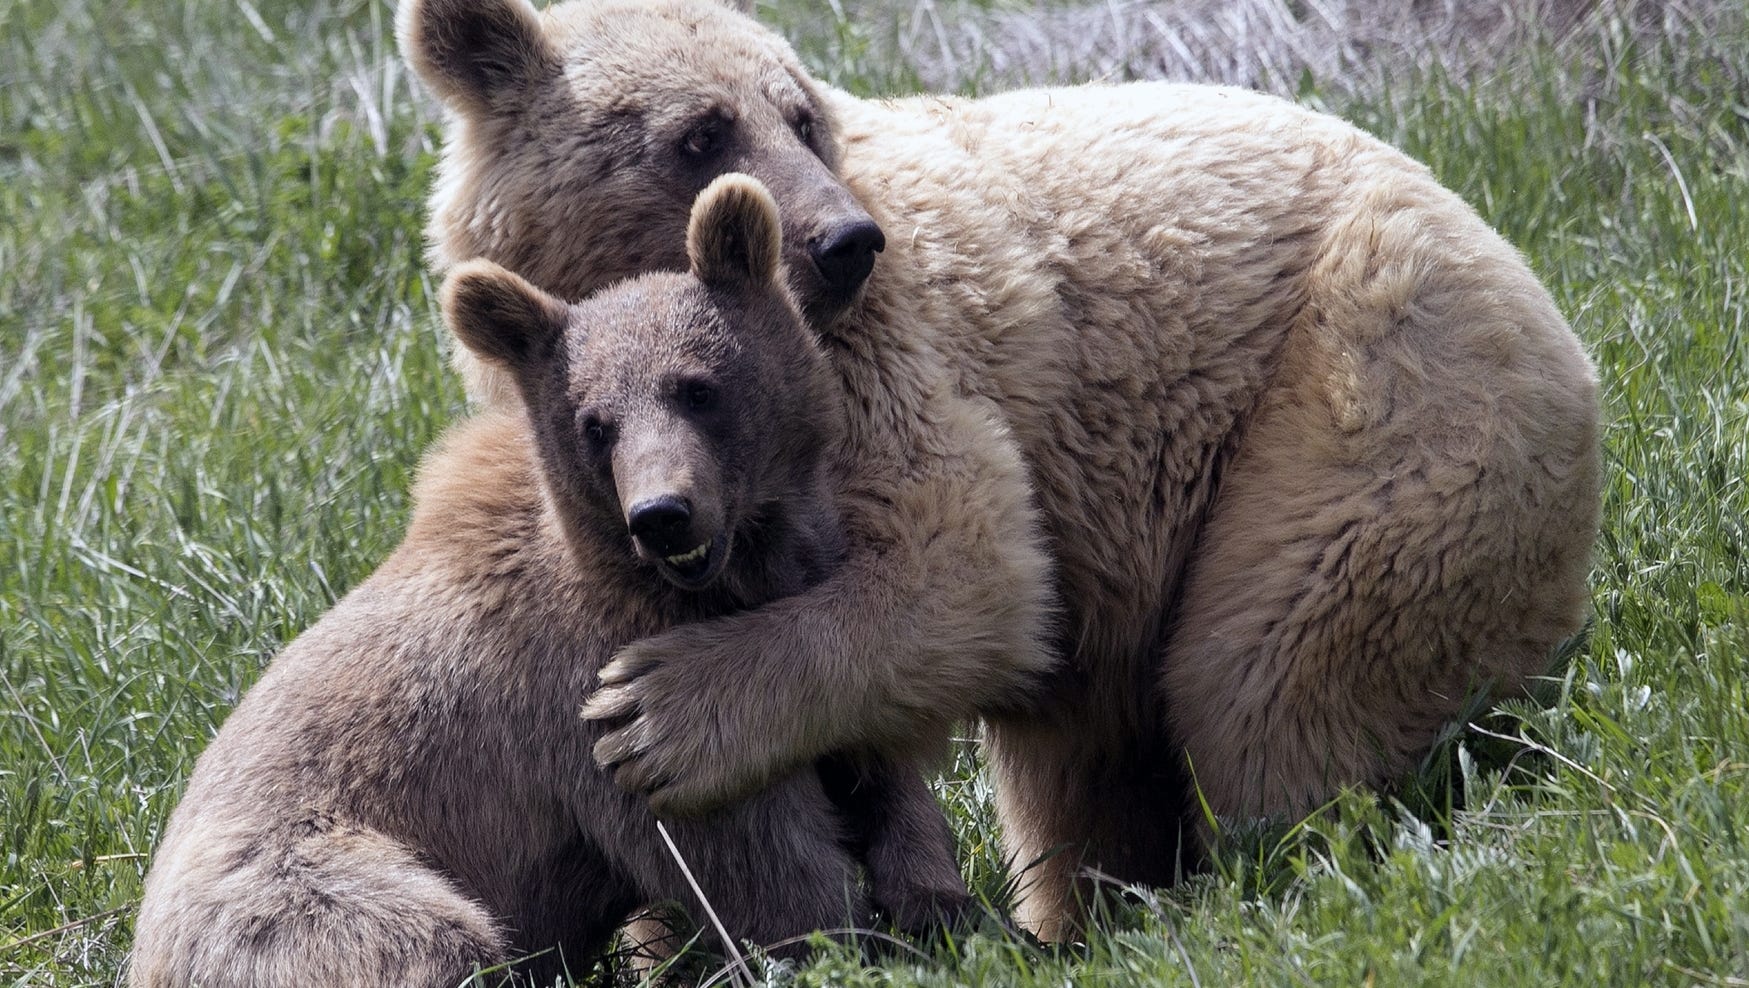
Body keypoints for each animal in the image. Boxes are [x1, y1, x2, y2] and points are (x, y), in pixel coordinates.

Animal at [127, 175, 977, 988]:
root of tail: (142, 952)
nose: (662, 514)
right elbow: (753, 850)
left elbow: (867, 754)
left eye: (697, 387)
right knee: (428, 940)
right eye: (595, 424)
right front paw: (848, 941)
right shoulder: (595, 701)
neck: (728, 580)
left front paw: (939, 903)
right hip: (303, 889)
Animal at [398, 0, 1602, 941]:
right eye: (701, 130)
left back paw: (1269, 868)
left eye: (800, 114)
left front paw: (655, 711)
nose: (843, 241)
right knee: (1079, 764)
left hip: (1372, 396)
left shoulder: (874, 364)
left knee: (1277, 666)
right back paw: (1091, 903)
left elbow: (960, 565)